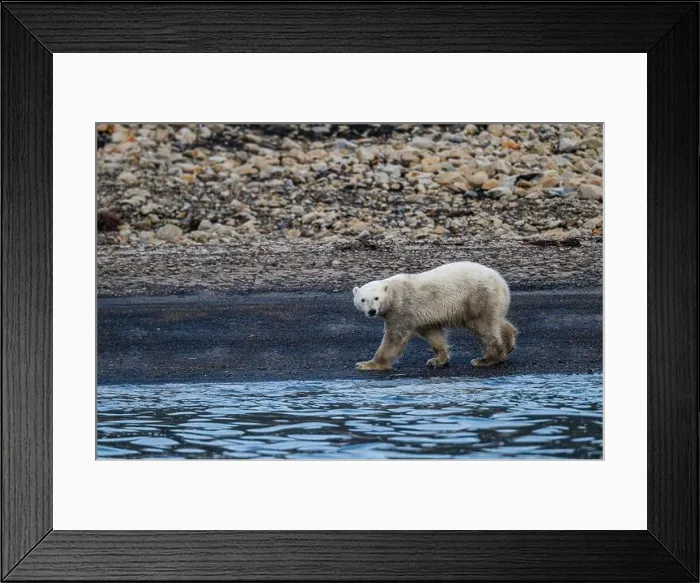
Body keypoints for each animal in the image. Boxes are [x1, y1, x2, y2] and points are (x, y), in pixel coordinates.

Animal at [352, 261, 517, 370]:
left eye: (376, 298)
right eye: (363, 299)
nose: (371, 311)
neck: (393, 293)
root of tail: (502, 281)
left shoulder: (403, 308)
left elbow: (394, 338)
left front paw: (367, 364)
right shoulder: (422, 316)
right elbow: (433, 334)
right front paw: (437, 360)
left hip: (479, 296)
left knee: (484, 326)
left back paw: (486, 359)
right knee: (497, 320)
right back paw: (510, 341)